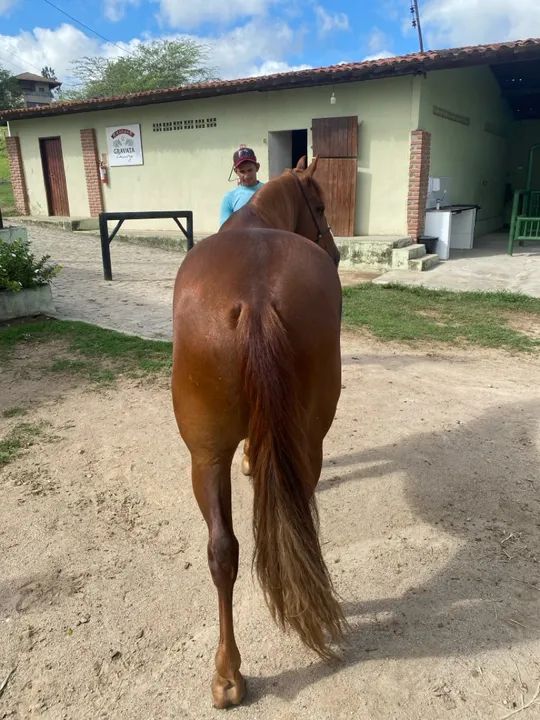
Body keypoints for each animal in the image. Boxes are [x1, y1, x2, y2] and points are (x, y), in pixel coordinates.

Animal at [171, 156, 345, 708]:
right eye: (321, 206)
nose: (335, 252)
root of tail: (256, 297)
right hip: (288, 444)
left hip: (206, 454)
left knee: (226, 548)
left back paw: (229, 673)